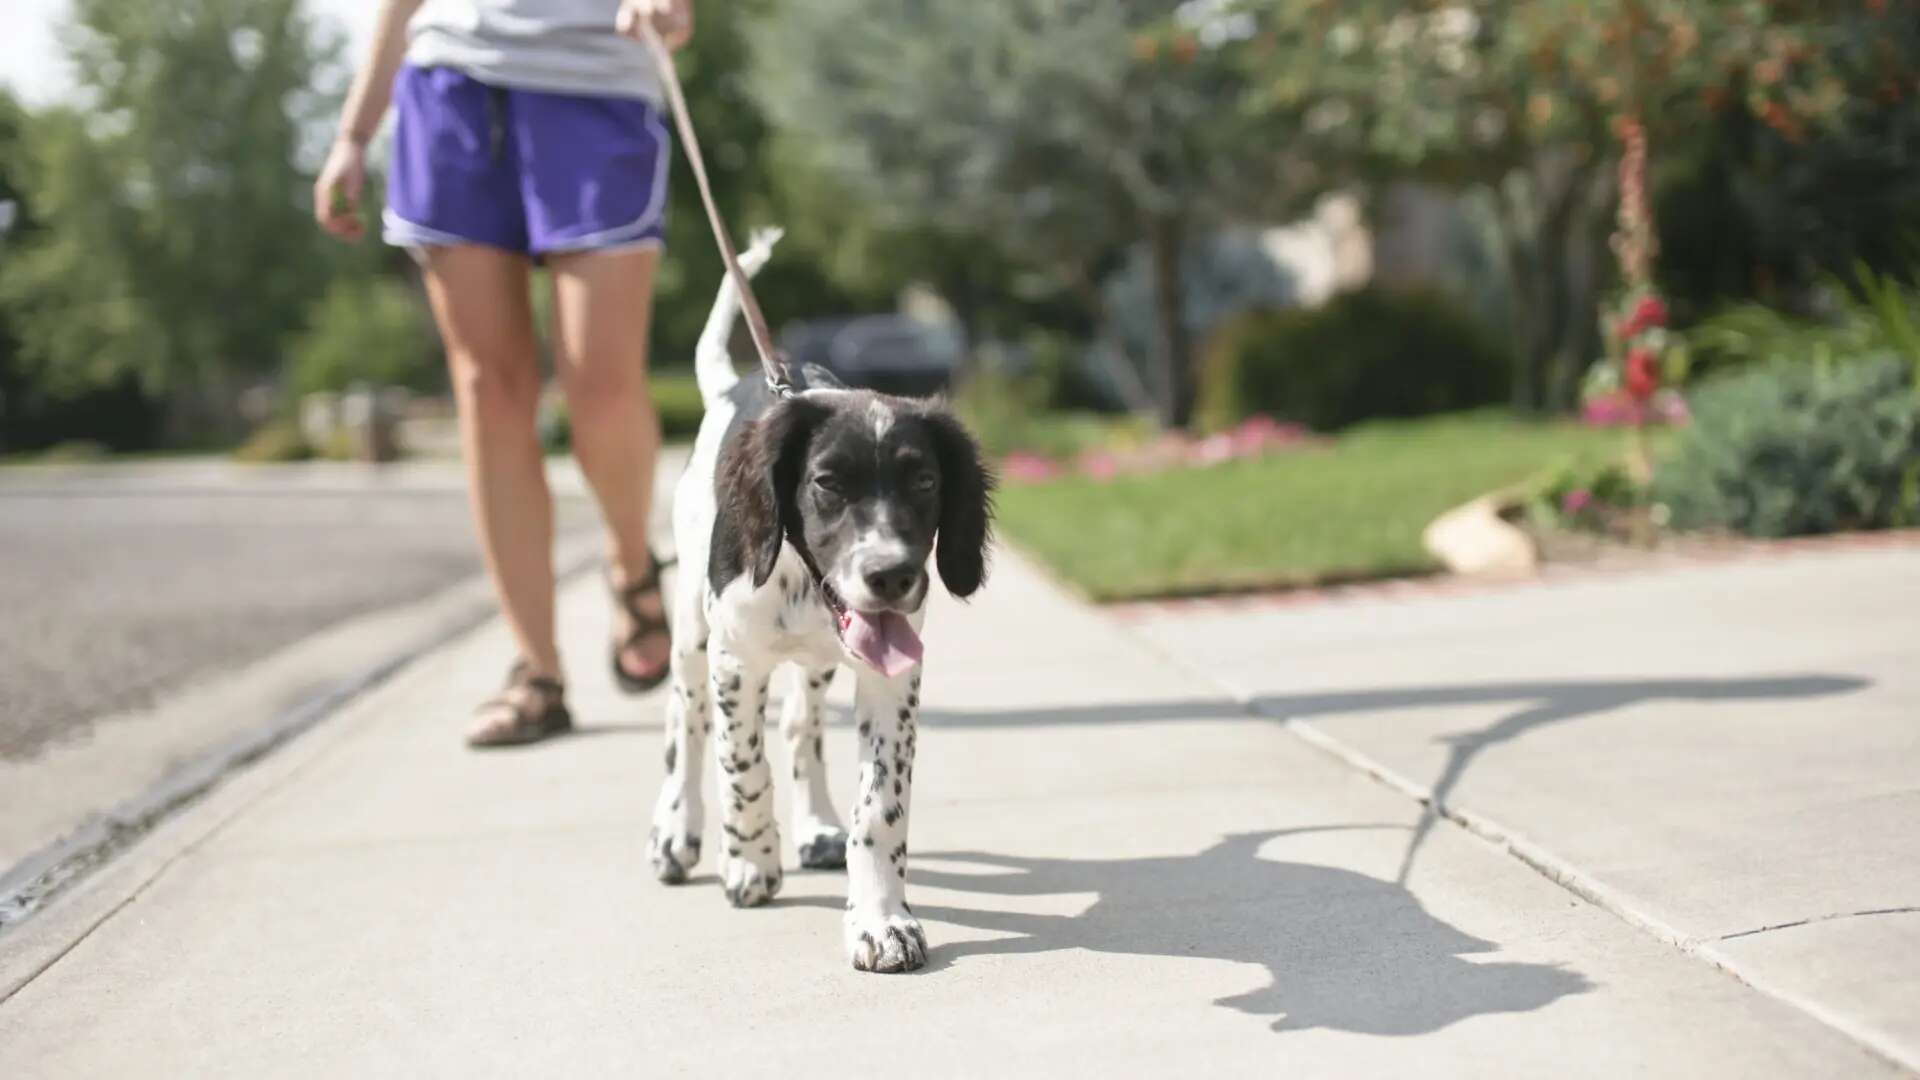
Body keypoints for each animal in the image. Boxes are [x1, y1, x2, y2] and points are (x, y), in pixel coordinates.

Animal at [652, 226, 998, 968]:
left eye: (925, 481)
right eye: (827, 483)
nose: (892, 576)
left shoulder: (893, 676)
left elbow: (881, 806)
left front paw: (881, 919)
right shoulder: (735, 661)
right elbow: (741, 765)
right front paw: (749, 860)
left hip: (817, 664)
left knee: (800, 726)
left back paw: (814, 827)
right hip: (693, 634)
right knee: (685, 722)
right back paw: (676, 832)